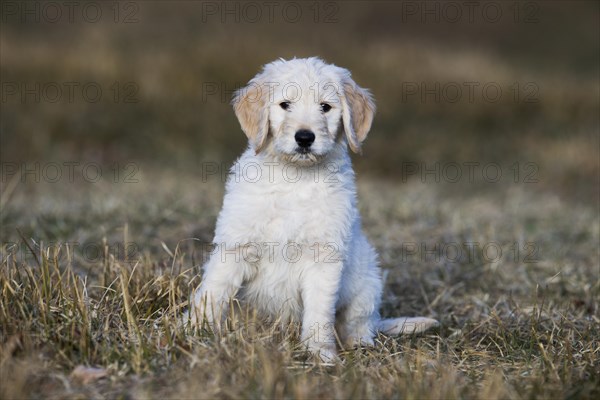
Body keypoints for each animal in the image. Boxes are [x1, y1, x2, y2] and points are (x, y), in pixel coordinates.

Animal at [190, 57, 438, 360]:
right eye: (285, 104)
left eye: (325, 107)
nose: (305, 138)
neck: (294, 178)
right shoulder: (235, 246)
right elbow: (213, 292)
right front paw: (193, 331)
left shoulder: (324, 257)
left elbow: (319, 312)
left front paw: (320, 353)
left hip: (367, 284)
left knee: (359, 323)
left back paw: (359, 343)